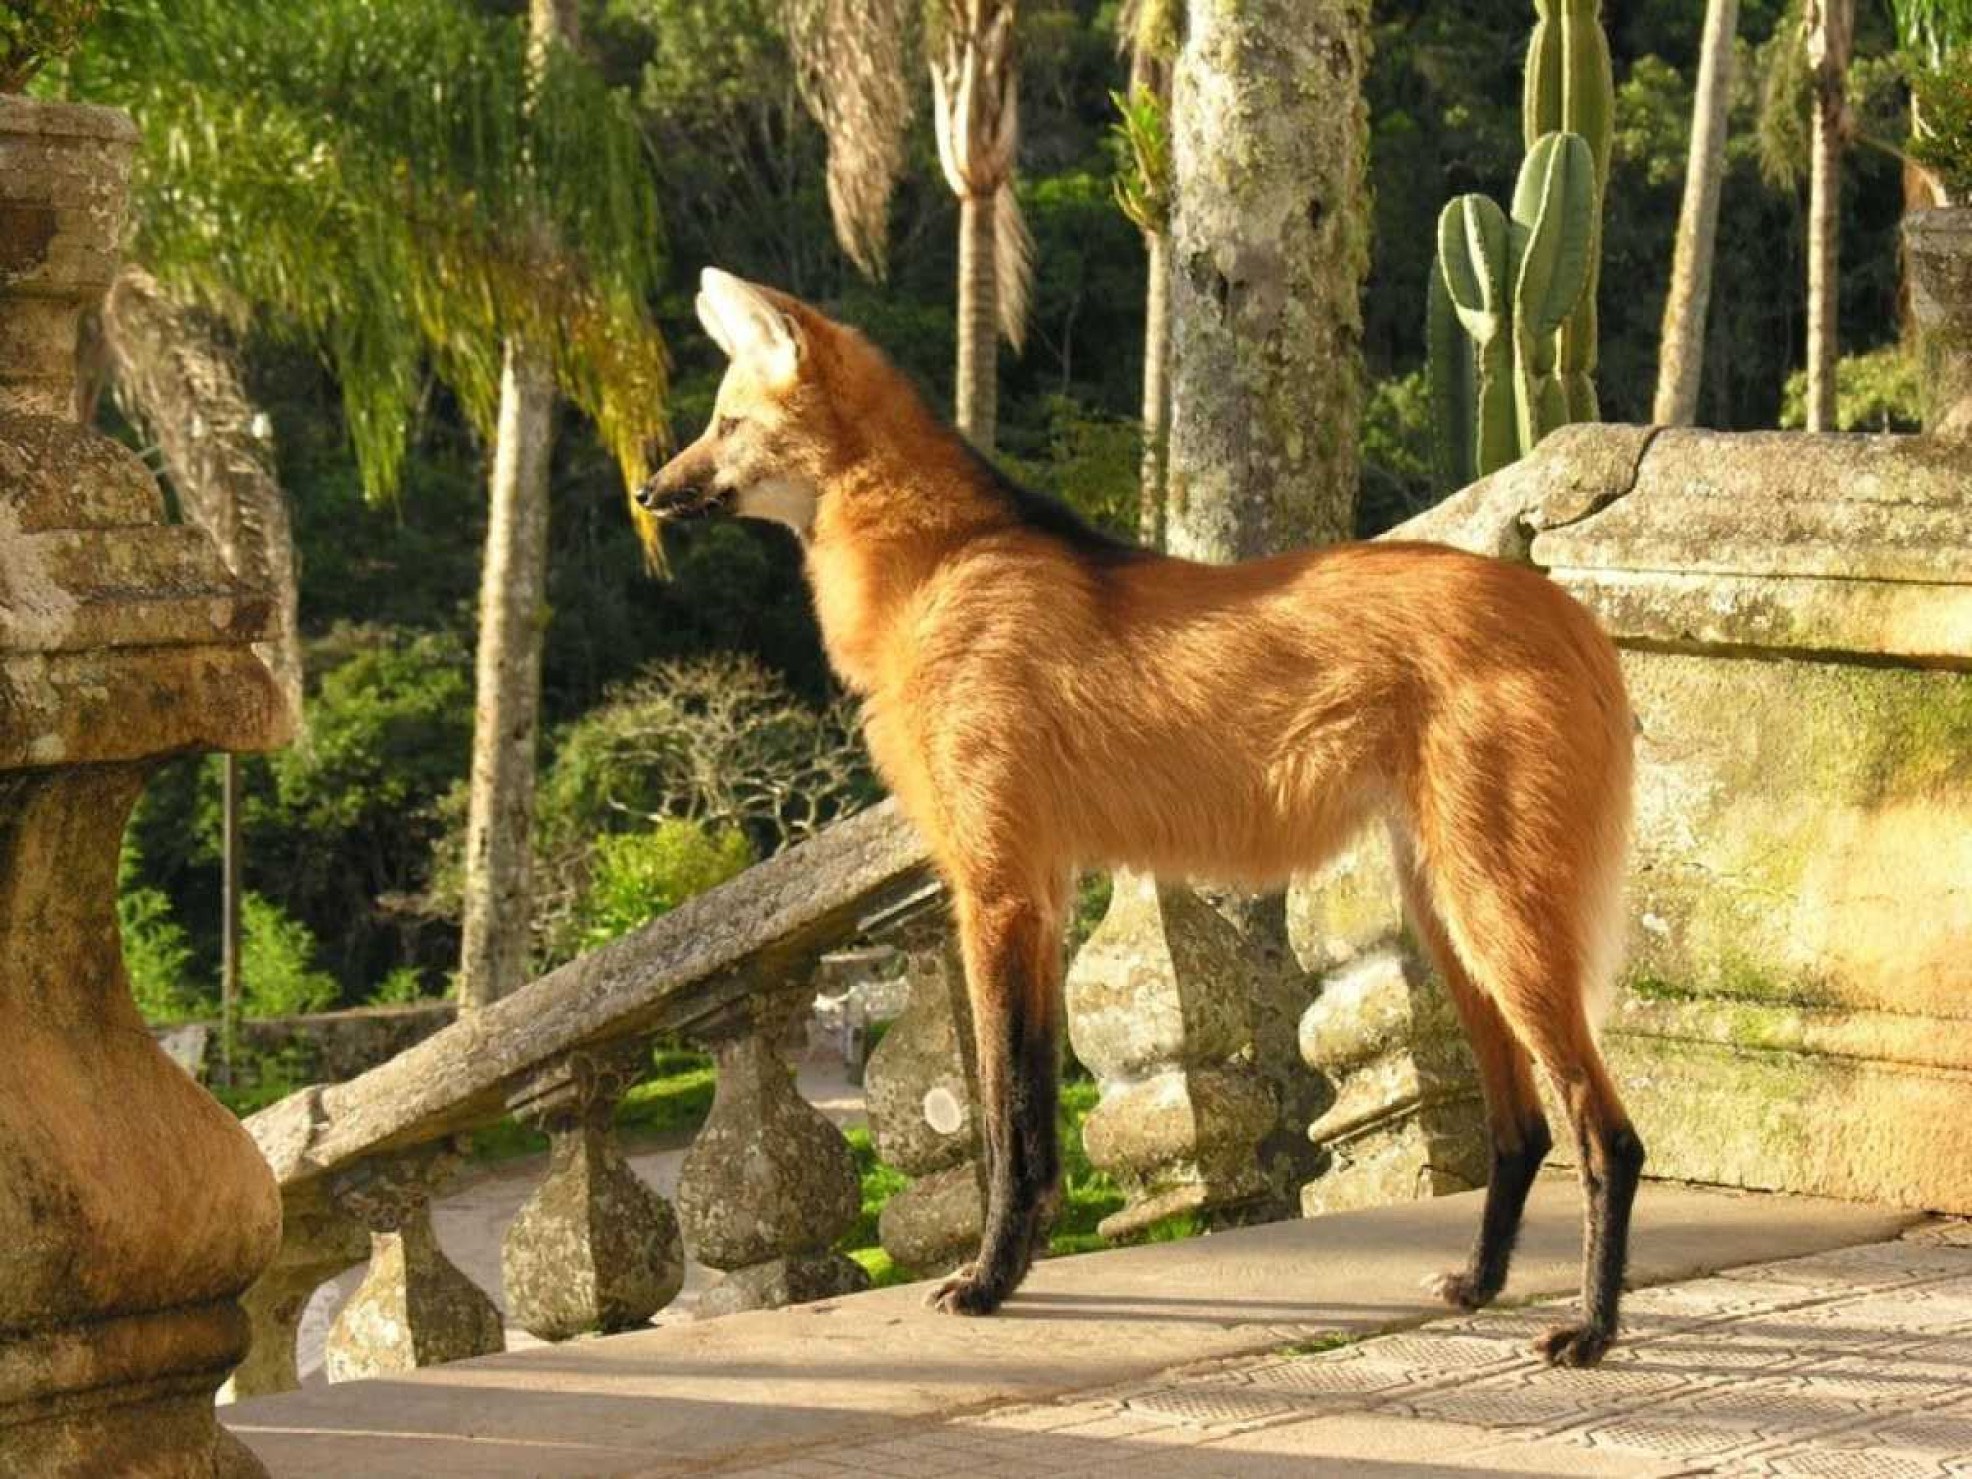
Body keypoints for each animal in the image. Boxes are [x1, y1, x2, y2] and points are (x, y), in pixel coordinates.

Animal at [638, 272, 1640, 1372]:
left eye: (726, 423)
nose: (648, 491)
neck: (938, 564)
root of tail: (1573, 615)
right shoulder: (1037, 887)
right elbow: (1025, 1111)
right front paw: (1008, 1267)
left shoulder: (996, 888)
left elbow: (1008, 1115)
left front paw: (985, 1282)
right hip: (1447, 911)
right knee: (1524, 1126)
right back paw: (1480, 1282)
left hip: (1492, 907)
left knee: (1605, 1130)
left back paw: (1591, 1328)